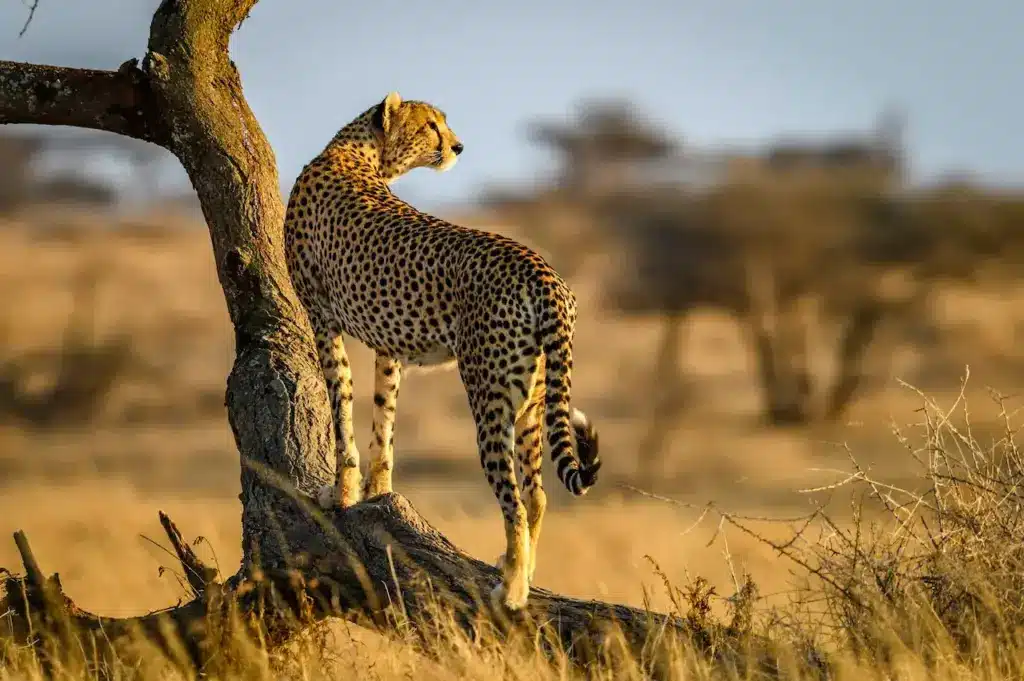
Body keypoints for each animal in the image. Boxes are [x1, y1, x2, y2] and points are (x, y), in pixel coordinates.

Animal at [282, 91, 598, 610]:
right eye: (432, 124)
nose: (458, 146)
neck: (355, 152)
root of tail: (543, 271)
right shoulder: (387, 344)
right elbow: (384, 418)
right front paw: (378, 490)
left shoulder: (322, 317)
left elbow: (341, 407)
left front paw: (341, 493)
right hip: (534, 399)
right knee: (537, 494)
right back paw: (523, 570)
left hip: (489, 397)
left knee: (512, 497)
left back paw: (511, 588)